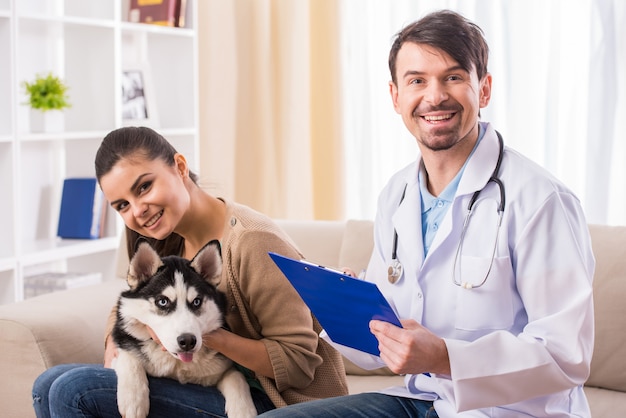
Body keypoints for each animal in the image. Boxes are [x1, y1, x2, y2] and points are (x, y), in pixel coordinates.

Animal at [111, 240, 256, 418]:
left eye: (197, 302)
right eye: (163, 302)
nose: (187, 341)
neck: (178, 365)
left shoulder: (221, 367)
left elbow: (237, 376)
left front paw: (243, 410)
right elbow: (129, 359)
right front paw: (133, 399)